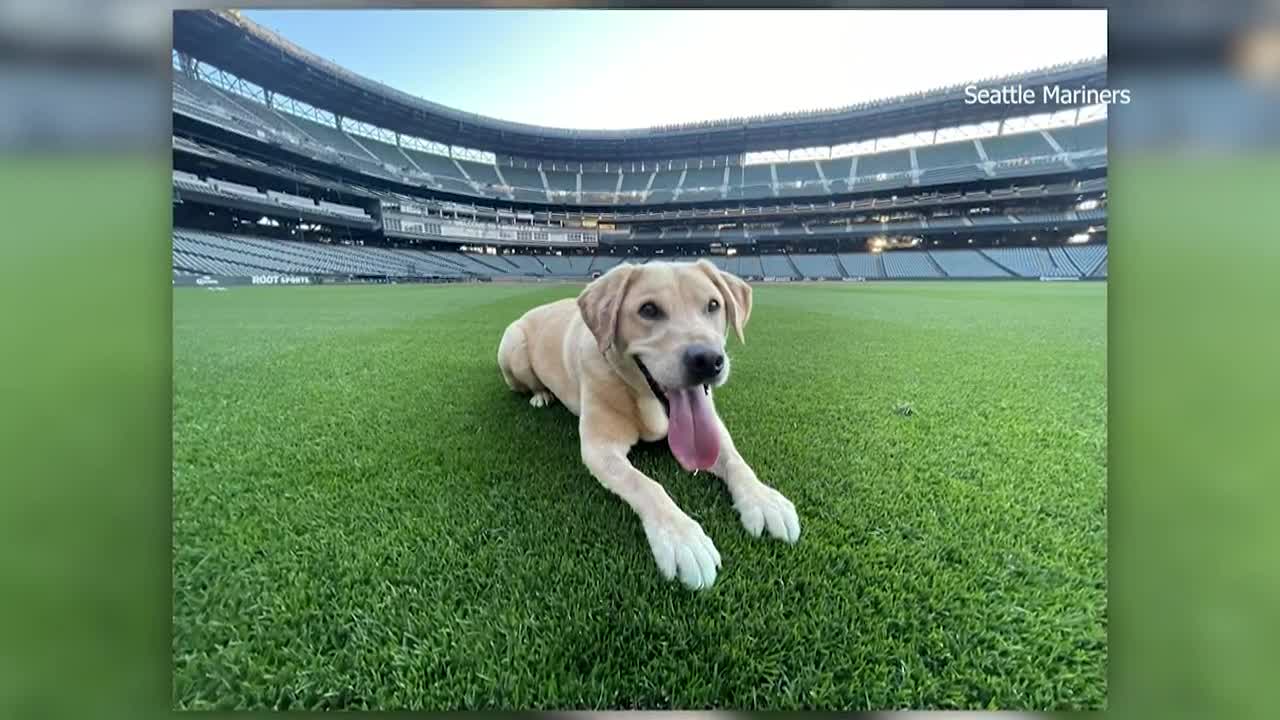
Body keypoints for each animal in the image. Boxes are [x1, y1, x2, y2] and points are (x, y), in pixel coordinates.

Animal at [494, 258, 793, 589]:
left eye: (713, 305)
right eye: (648, 310)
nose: (707, 360)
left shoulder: (714, 429)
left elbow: (735, 461)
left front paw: (764, 499)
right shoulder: (599, 449)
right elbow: (647, 485)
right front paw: (682, 538)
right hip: (513, 349)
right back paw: (541, 395)